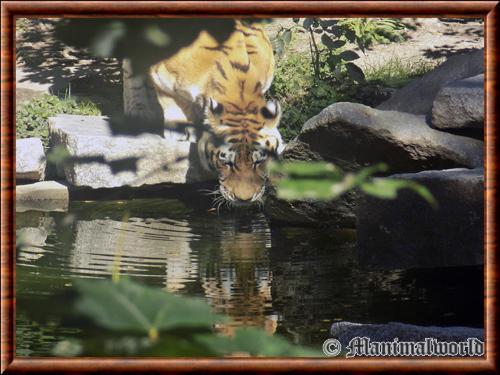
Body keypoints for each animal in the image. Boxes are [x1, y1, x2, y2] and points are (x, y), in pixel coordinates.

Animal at [123, 20, 284, 207]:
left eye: (258, 161)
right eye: (227, 162)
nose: (244, 199)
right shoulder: (162, 78)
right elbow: (173, 103)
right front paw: (182, 131)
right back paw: (138, 111)